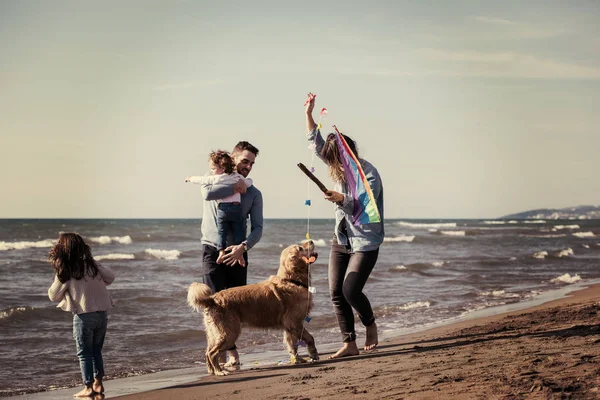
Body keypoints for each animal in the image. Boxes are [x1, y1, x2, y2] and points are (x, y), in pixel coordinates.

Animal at [188, 241, 318, 376]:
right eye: (300, 248)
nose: (311, 241)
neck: (292, 280)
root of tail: (212, 299)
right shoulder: (294, 323)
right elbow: (310, 338)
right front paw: (313, 354)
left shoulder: (289, 326)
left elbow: (292, 344)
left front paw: (297, 359)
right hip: (229, 333)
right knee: (212, 353)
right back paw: (220, 371)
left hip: (214, 333)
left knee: (207, 351)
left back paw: (211, 371)